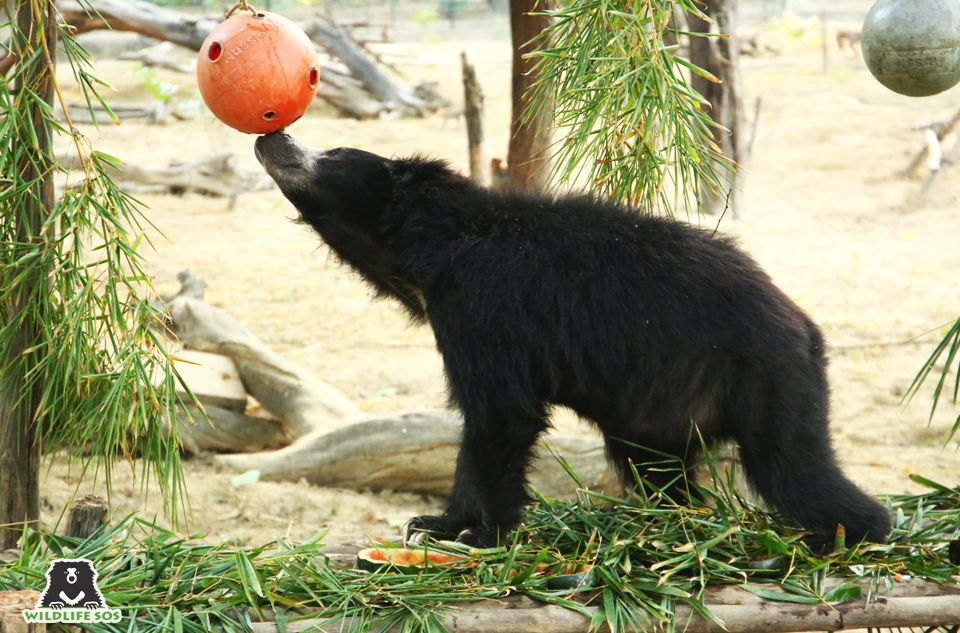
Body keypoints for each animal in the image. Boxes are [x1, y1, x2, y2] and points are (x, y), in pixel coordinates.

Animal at [256, 132, 892, 548]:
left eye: (334, 154)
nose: (270, 136)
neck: (428, 253)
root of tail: (808, 331)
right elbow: (475, 430)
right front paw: (437, 524)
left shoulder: (485, 311)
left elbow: (501, 416)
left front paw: (484, 534)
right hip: (660, 413)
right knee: (660, 473)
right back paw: (676, 524)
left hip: (765, 383)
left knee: (793, 466)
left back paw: (850, 535)